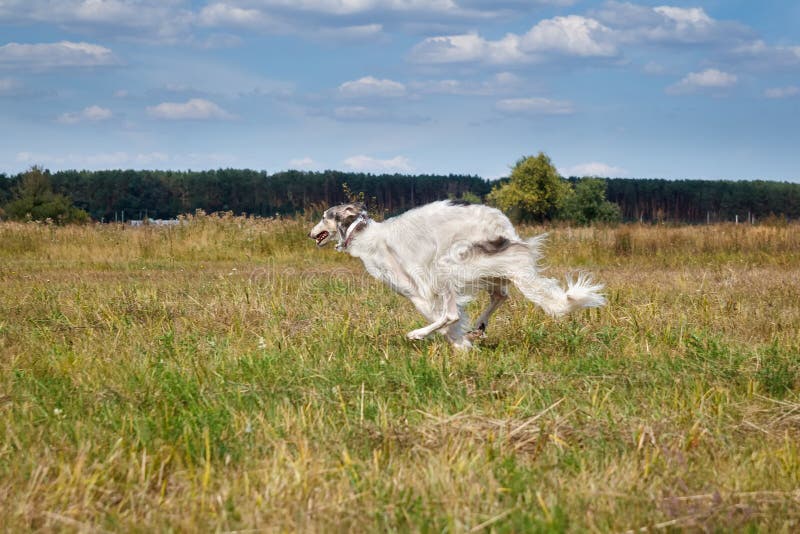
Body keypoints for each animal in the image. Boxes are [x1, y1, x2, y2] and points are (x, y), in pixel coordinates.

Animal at [310, 201, 604, 352]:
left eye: (324, 217)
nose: (310, 234)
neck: (364, 234)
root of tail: (505, 228)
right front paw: (462, 340)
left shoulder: (417, 291)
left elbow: (445, 318)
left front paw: (459, 344)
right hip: (491, 268)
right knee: (500, 295)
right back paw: (479, 327)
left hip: (448, 264)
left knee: (453, 312)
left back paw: (419, 334)